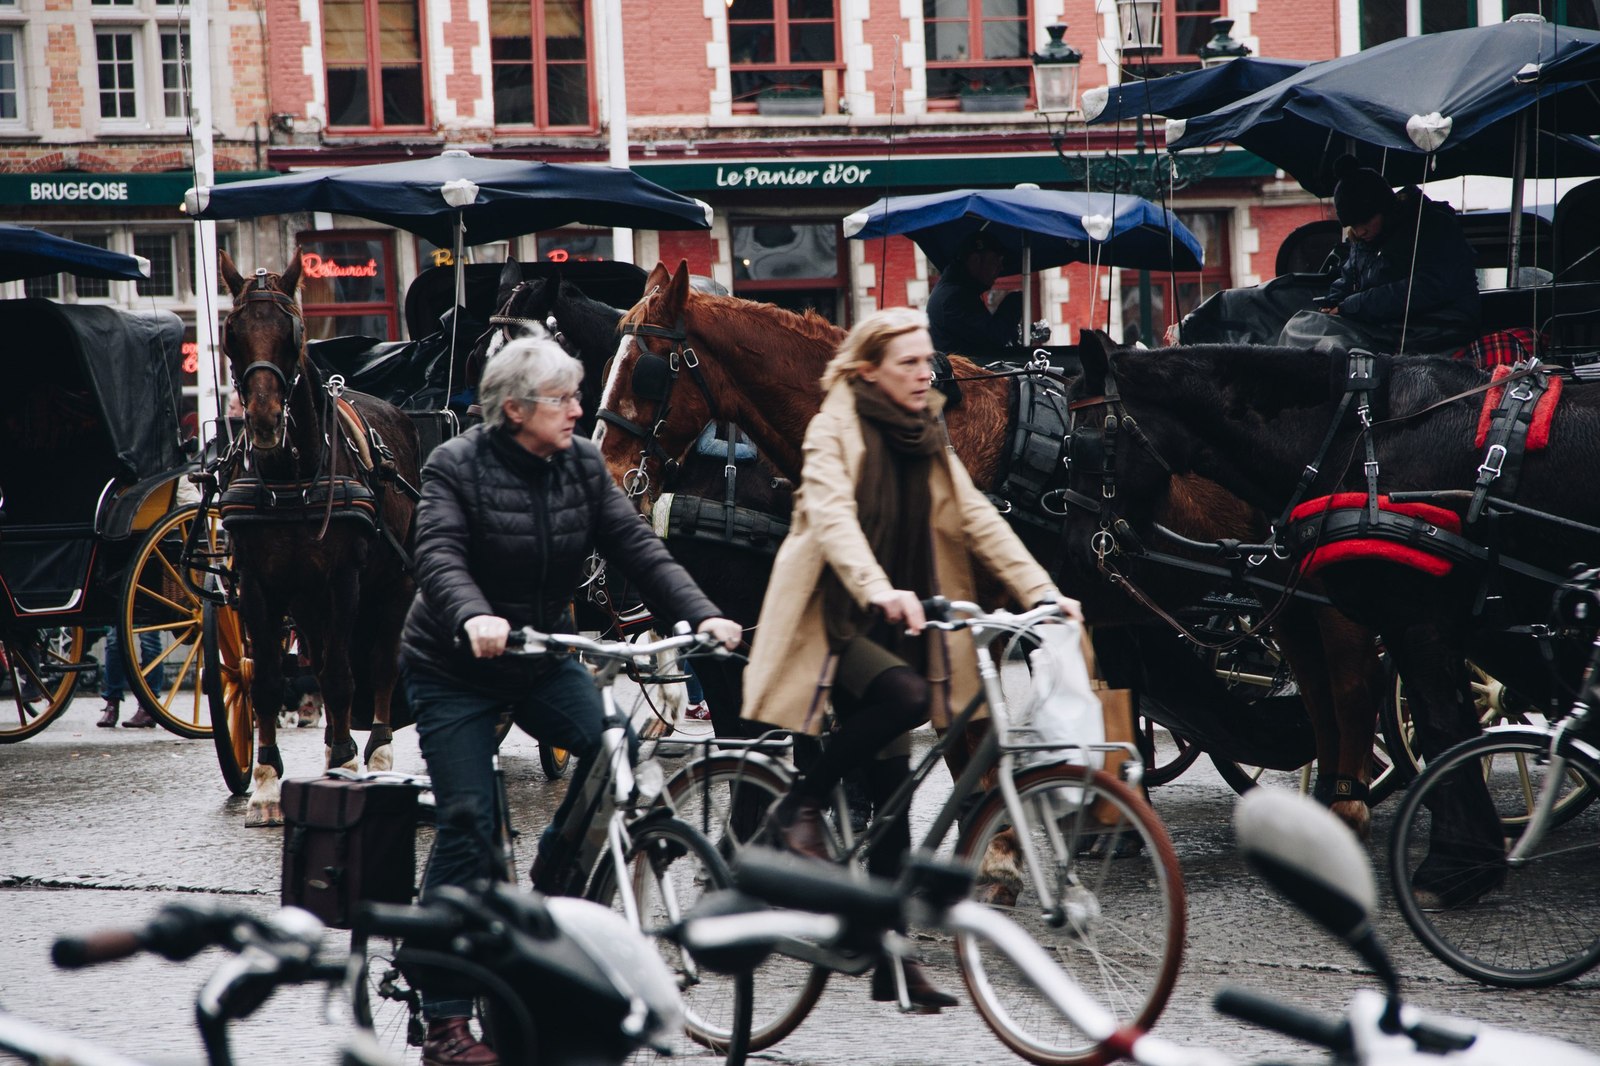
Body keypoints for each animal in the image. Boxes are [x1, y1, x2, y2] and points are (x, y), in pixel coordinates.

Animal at [216, 252, 425, 825]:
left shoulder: (343, 580)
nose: (264, 421)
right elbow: (267, 679)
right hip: (307, 602)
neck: (290, 478)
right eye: (231, 333)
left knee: (378, 662)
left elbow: (340, 675)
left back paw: (374, 753)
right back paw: (334, 747)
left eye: (294, 334)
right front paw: (267, 785)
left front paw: (351, 764)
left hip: (393, 587)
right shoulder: (259, 584)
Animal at [595, 264, 1395, 832]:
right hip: (1275, 593)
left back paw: (1351, 802)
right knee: (1314, 684)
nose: (606, 472)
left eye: (645, 366)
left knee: (1353, 676)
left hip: (1323, 590)